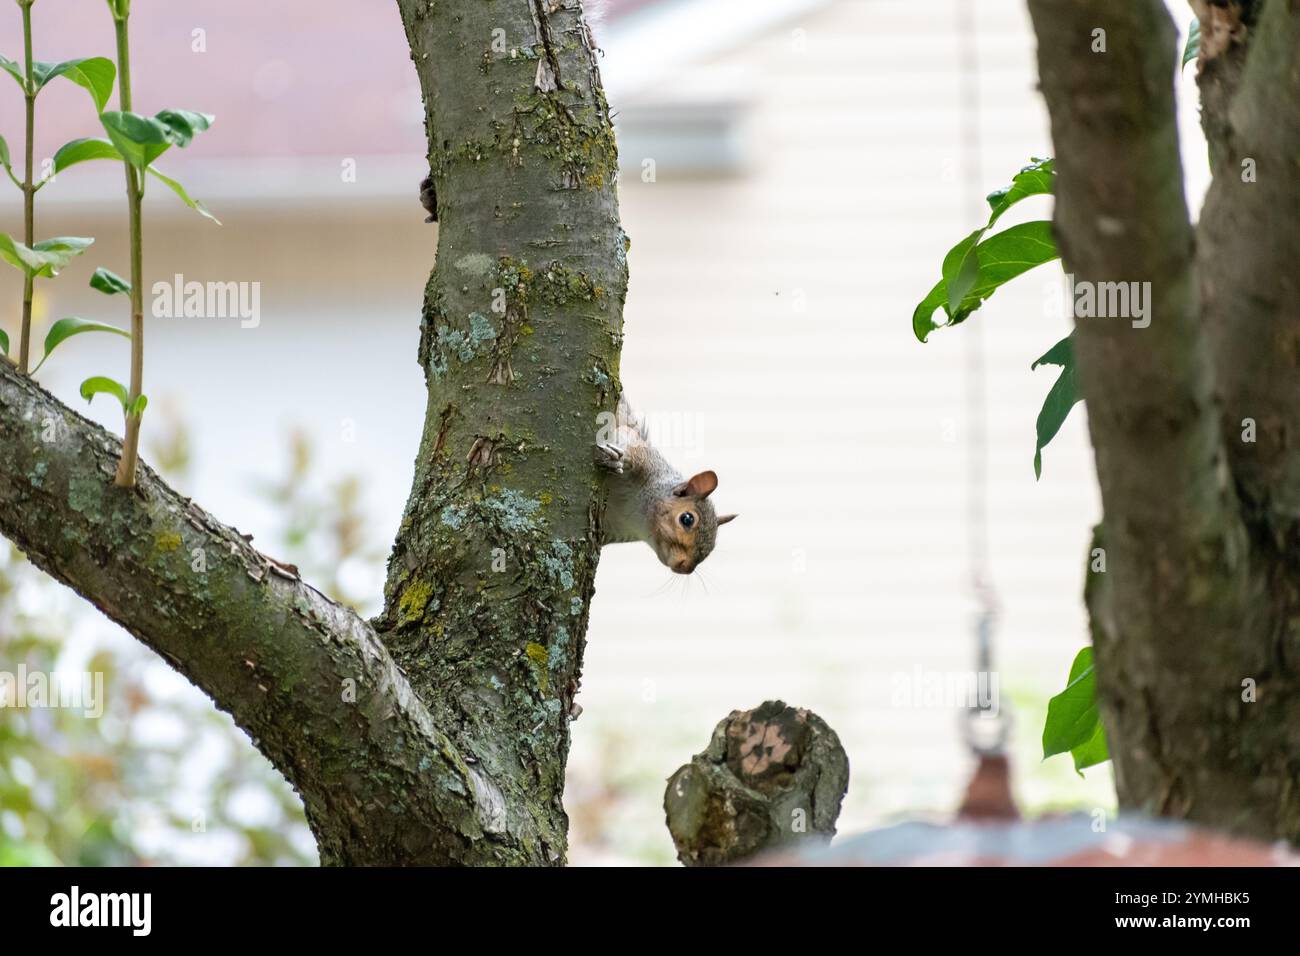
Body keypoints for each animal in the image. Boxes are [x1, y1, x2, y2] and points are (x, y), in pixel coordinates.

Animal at [595, 393, 736, 573]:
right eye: (687, 519)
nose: (685, 569)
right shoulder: (645, 461)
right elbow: (627, 436)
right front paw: (617, 458)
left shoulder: (613, 529)